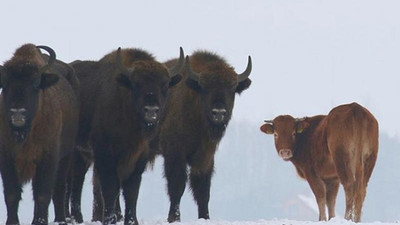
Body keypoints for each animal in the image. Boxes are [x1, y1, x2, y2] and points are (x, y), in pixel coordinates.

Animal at [0, 44, 79, 225]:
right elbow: (12, 194)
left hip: (66, 157)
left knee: (58, 190)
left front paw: (41, 221)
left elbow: (43, 194)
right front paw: (12, 222)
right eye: (5, 83)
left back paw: (60, 219)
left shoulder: (48, 157)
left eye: (35, 83)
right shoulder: (6, 156)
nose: (18, 112)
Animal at [69, 47, 185, 225]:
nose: (151, 110)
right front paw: (110, 219)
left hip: (82, 155)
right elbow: (110, 187)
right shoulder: (105, 154)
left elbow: (131, 191)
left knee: (77, 181)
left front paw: (132, 221)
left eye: (164, 85)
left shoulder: (139, 157)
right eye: (136, 84)